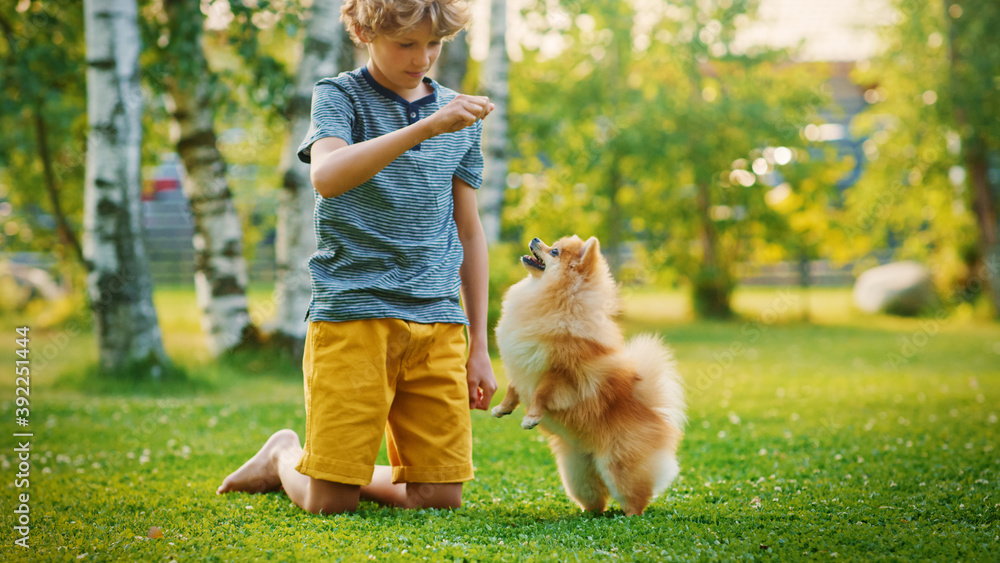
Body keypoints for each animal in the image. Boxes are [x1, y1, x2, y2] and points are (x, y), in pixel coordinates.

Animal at [494, 236, 688, 516]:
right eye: (552, 244)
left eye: (554, 251)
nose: (535, 239)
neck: (554, 300)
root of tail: (653, 412)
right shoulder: (521, 365)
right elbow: (512, 389)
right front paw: (501, 408)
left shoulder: (560, 375)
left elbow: (540, 394)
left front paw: (531, 418)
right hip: (577, 474)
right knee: (596, 497)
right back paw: (589, 513)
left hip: (618, 467)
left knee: (635, 498)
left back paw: (630, 516)